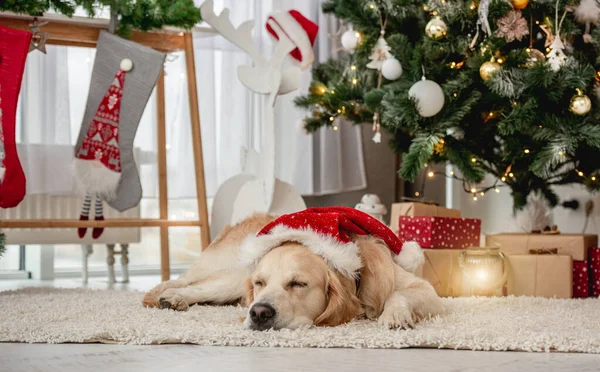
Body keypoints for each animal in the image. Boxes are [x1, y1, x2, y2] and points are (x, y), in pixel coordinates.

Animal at [144, 211, 446, 330]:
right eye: (260, 283)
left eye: (298, 284)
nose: (259, 313)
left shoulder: (427, 291)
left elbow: (398, 294)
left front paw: (394, 315)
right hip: (232, 277)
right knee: (190, 285)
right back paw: (173, 298)